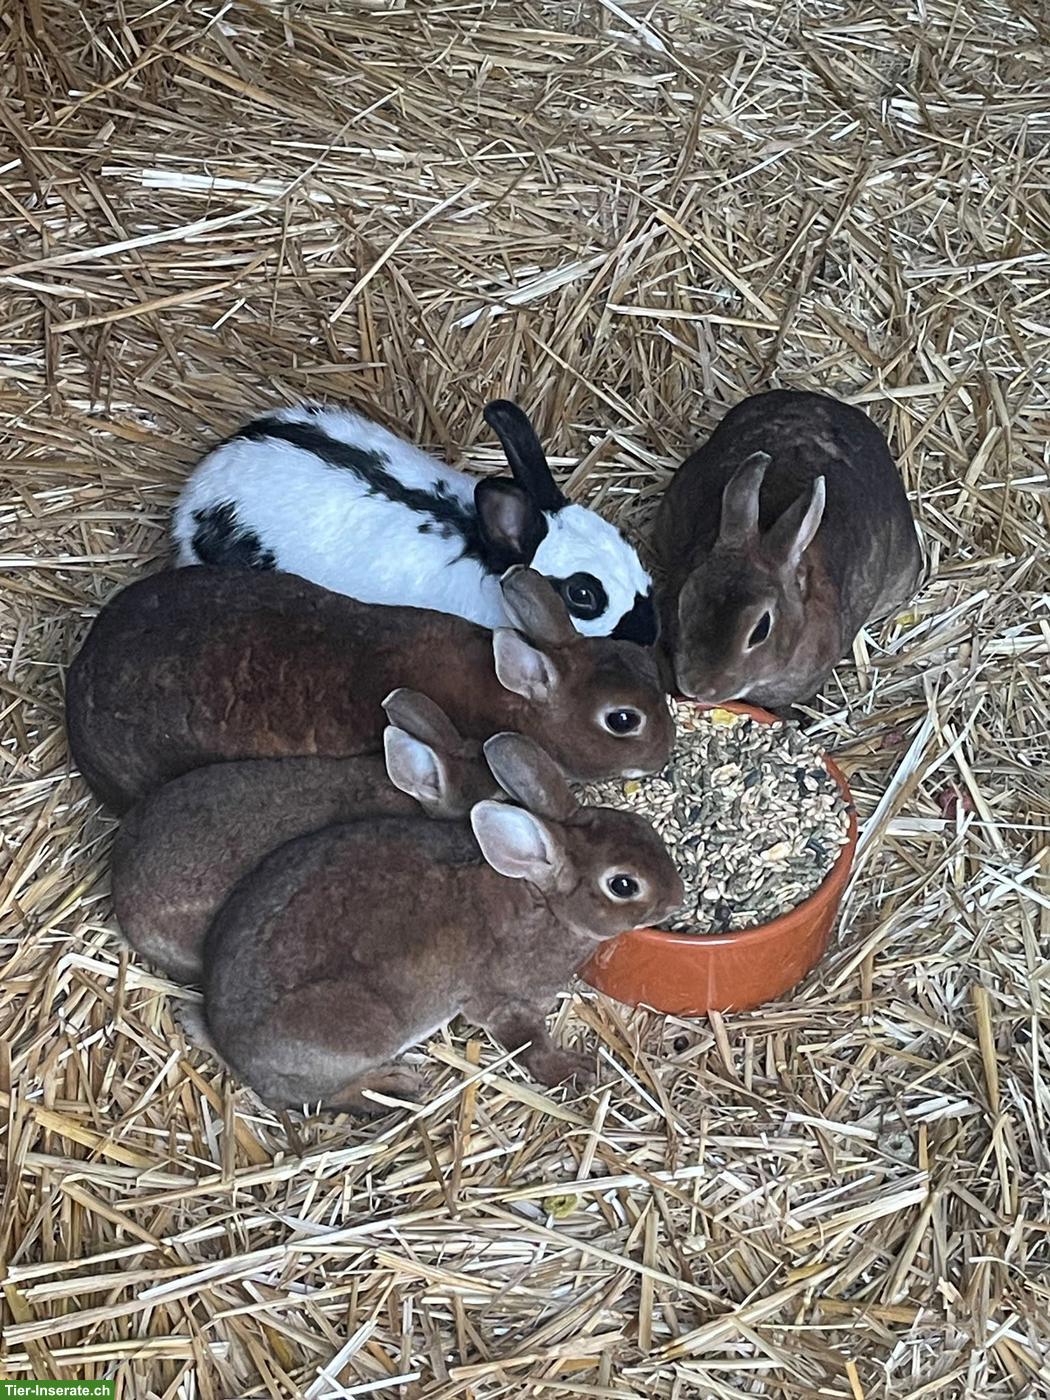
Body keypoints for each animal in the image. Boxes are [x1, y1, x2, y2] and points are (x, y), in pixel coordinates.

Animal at [200, 731, 685, 1110]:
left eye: (643, 828)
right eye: (623, 885)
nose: (676, 898)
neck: (543, 902)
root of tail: (231, 1049)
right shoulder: (500, 1001)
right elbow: (527, 1042)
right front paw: (574, 1069)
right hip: (360, 1033)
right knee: (308, 1098)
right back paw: (389, 1085)